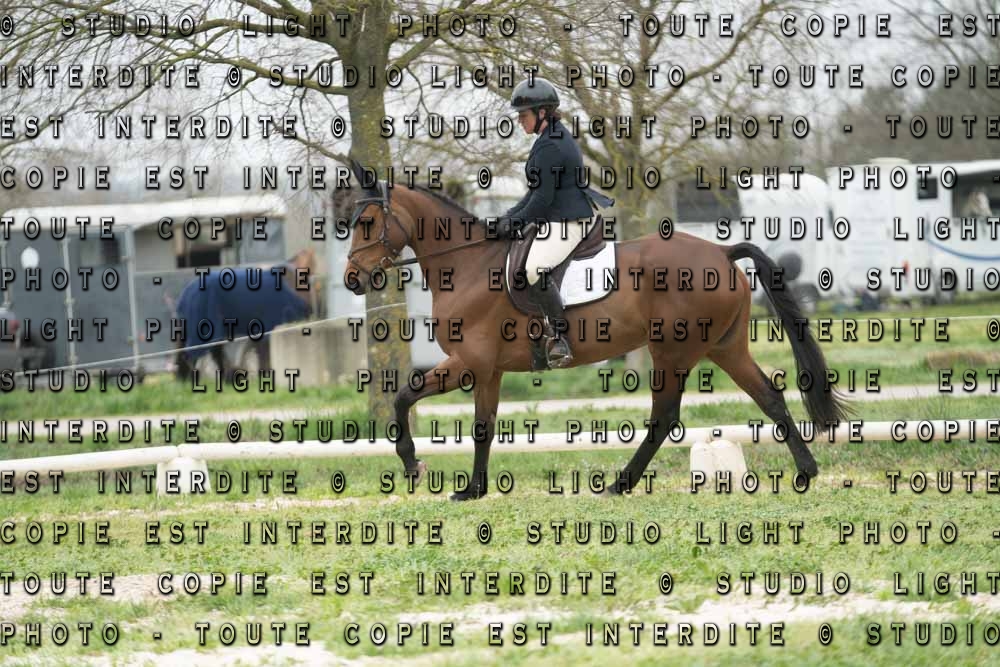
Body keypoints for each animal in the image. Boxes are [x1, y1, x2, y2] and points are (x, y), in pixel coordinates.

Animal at [341, 160, 850, 501]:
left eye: (366, 222)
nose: (351, 279)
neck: (466, 266)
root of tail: (721, 254)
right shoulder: (489, 371)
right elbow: (483, 426)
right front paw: (473, 489)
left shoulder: (469, 362)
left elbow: (403, 396)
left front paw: (413, 464)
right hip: (724, 347)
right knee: (769, 396)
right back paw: (806, 471)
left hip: (672, 352)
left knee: (664, 418)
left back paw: (619, 484)